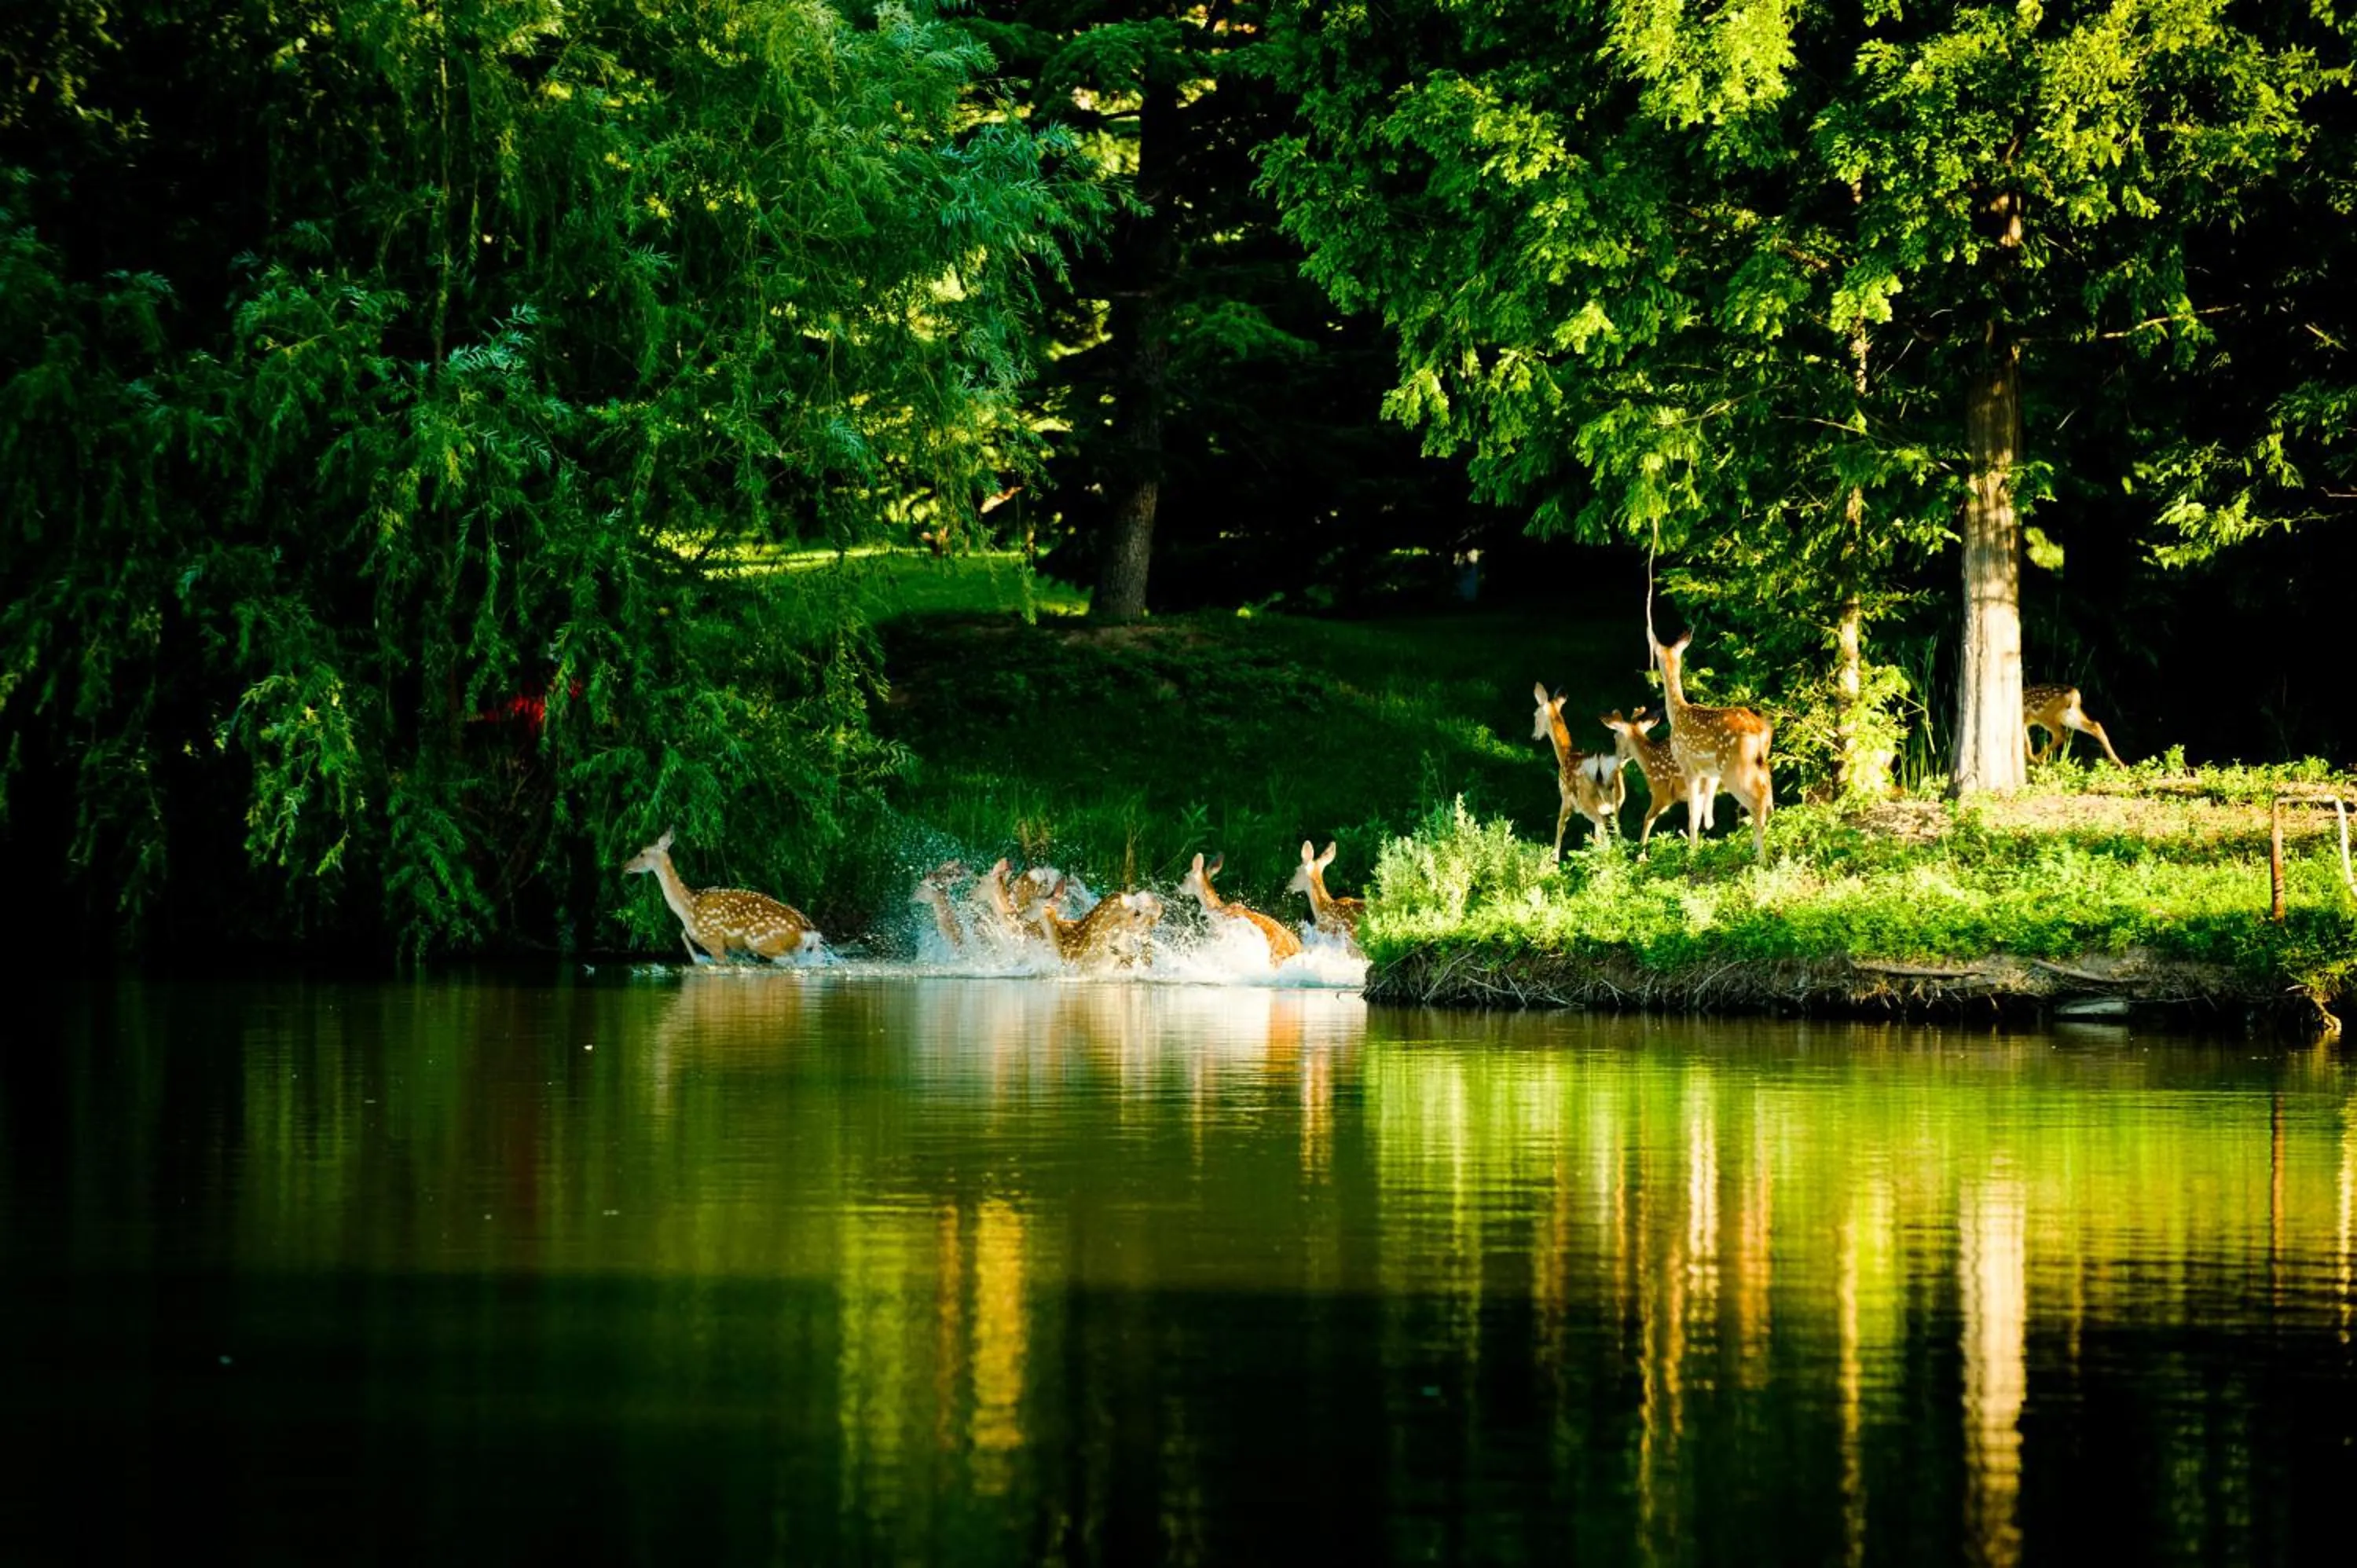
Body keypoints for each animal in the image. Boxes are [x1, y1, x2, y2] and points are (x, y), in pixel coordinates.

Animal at [622, 829, 824, 963]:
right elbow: (683, 934)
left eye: (642, 853)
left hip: (761, 941)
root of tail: (808, 930)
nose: (625, 866)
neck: (688, 907)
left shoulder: (713, 939)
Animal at [1533, 682, 1627, 857]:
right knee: (1616, 833)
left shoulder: (1565, 797)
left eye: (1535, 715)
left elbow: (1560, 825)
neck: (1566, 755)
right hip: (1617, 802)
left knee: (1603, 831)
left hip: (1585, 801)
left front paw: (1554, 860)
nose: (1534, 736)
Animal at [1599, 708, 1689, 856]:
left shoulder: (1662, 793)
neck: (1648, 760)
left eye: (1615, 737)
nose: (1618, 759)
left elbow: (1648, 819)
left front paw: (1641, 856)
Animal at [1649, 630, 1774, 862]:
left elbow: (1692, 816)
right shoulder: (1708, 773)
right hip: (1760, 763)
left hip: (1735, 768)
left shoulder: (1688, 767)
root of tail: (1759, 730)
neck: (1677, 713)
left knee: (1757, 801)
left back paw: (1761, 858)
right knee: (1768, 798)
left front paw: (1692, 852)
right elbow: (1701, 814)